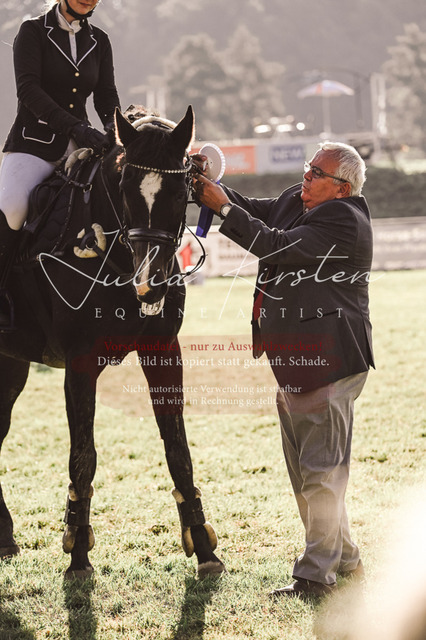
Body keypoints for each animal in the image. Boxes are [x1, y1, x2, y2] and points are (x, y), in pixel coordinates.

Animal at [0, 105, 226, 580]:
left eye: (181, 189)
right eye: (123, 189)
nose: (150, 286)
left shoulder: (163, 352)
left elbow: (178, 450)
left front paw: (204, 548)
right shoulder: (80, 364)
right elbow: (83, 456)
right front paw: (77, 554)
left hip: (10, 364)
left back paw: (5, 538)